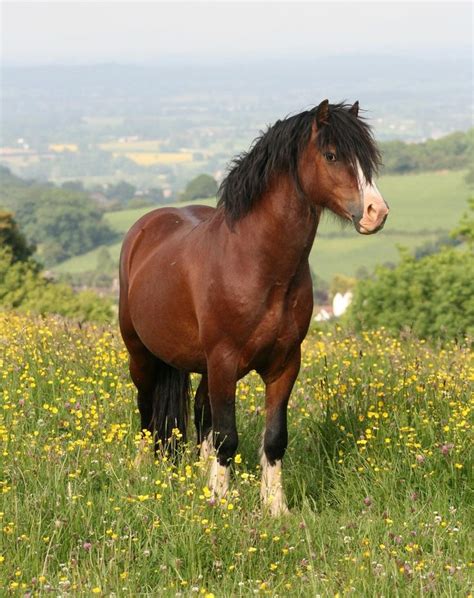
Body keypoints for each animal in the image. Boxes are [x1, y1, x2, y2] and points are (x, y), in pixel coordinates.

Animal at [118, 98, 388, 516]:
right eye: (331, 155)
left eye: (367, 158)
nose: (377, 212)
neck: (257, 264)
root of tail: (144, 228)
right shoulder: (224, 361)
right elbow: (228, 436)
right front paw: (220, 501)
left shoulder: (284, 364)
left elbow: (274, 437)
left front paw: (275, 508)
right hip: (143, 355)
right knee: (148, 413)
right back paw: (144, 472)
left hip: (203, 366)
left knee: (200, 412)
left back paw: (198, 476)